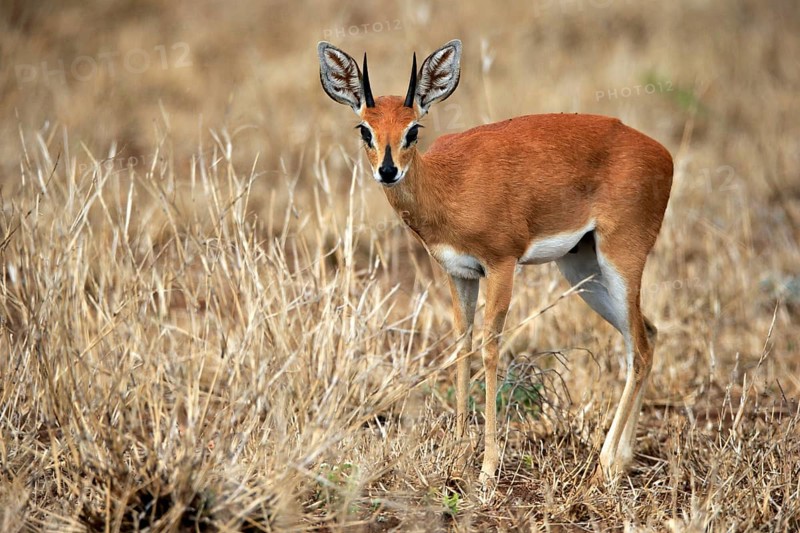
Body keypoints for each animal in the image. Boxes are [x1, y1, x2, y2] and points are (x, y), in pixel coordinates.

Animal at [317, 39, 673, 486]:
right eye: (365, 129)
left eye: (413, 129)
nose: (387, 170)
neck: (447, 186)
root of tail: (663, 154)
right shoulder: (459, 274)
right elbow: (462, 346)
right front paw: (456, 452)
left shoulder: (502, 265)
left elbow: (489, 350)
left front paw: (487, 467)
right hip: (583, 270)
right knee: (645, 336)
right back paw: (621, 460)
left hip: (620, 258)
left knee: (640, 347)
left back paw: (604, 465)